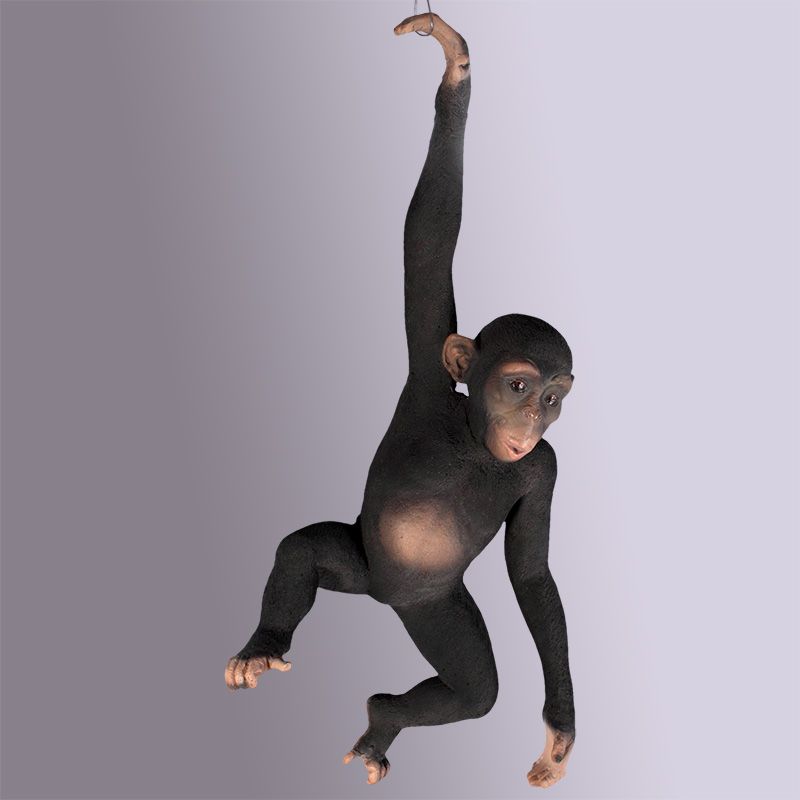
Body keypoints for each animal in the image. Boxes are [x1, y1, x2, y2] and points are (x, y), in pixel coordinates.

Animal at [224, 13, 576, 789]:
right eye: (518, 386)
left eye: (555, 399)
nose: (532, 419)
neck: (474, 440)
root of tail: (384, 598)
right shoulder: (425, 373)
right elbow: (429, 237)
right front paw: (455, 66)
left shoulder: (545, 468)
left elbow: (533, 575)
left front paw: (560, 730)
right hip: (361, 561)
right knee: (302, 552)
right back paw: (264, 643)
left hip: (434, 606)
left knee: (472, 689)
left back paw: (382, 718)